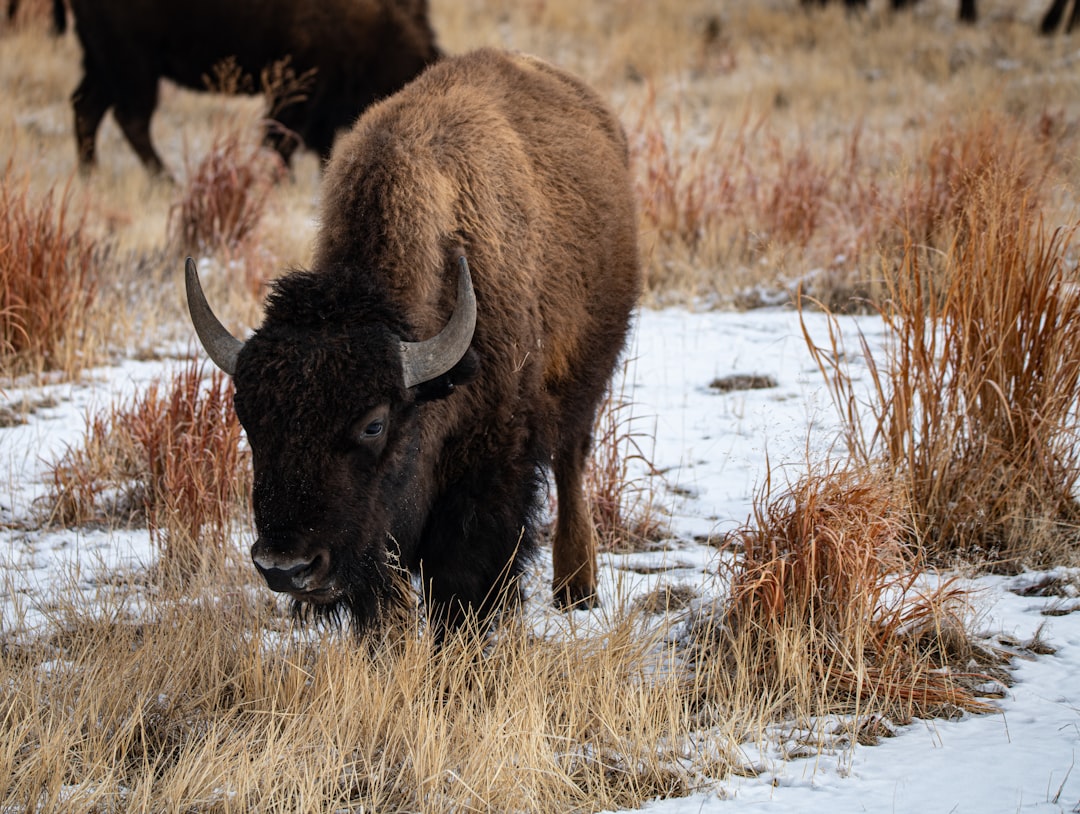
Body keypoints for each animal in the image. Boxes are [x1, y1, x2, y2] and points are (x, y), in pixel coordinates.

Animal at [68, 0, 438, 177]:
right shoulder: (295, 90)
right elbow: (281, 141)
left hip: (105, 65)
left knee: (87, 109)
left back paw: (91, 174)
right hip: (133, 66)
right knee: (130, 119)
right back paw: (164, 180)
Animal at [185, 49, 639, 634]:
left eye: (374, 424)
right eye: (247, 417)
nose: (286, 567)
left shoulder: (489, 472)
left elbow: (463, 588)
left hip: (587, 380)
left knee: (572, 460)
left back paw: (577, 589)